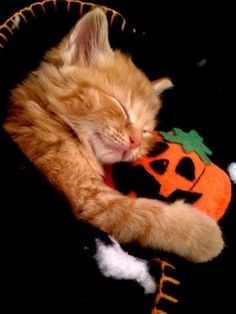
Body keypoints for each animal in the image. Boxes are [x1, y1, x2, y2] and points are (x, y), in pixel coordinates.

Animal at [2, 7, 224, 262]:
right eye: (121, 107)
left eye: (145, 130)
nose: (135, 142)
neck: (54, 119)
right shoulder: (92, 203)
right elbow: (143, 215)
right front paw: (206, 235)